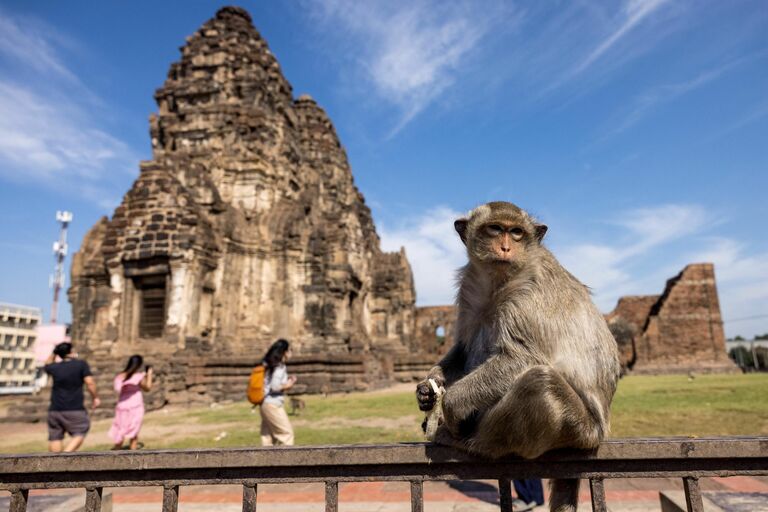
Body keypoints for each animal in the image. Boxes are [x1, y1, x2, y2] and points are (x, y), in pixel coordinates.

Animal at [416, 200, 620, 512]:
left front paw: (449, 404)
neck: (497, 282)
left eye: (516, 233)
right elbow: (463, 348)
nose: (505, 247)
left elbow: (522, 358)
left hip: (580, 430)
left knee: (540, 384)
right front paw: (428, 388)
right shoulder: (469, 291)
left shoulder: (528, 294)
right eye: (495, 229)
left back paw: (468, 441)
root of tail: (597, 435)